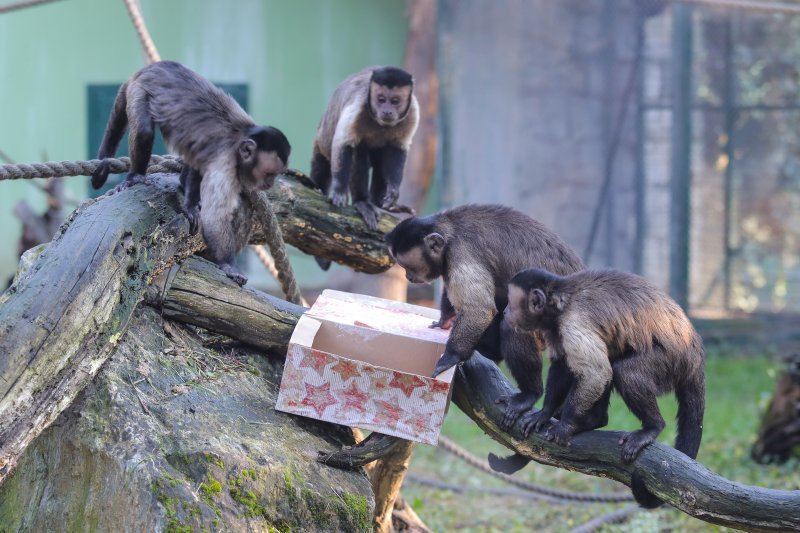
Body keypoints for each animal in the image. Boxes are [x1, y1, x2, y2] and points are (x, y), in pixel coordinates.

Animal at [91, 61, 290, 286]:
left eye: (275, 174)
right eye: (269, 173)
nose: (269, 184)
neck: (241, 139)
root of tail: (148, 68)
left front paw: (190, 201)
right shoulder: (225, 163)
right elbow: (214, 217)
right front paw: (230, 264)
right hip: (139, 90)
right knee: (143, 130)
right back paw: (136, 176)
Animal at [310, 65, 418, 234]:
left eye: (395, 101)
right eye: (381, 99)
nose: (387, 110)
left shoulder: (412, 110)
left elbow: (398, 149)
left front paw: (393, 192)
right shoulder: (358, 105)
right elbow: (343, 143)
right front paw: (339, 190)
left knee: (385, 151)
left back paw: (379, 202)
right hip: (323, 145)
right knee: (357, 149)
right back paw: (362, 202)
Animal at [384, 204, 584, 428]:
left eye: (409, 267)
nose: (408, 277)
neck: (450, 230)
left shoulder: (461, 252)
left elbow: (479, 309)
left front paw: (451, 356)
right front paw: (445, 321)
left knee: (511, 325)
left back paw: (530, 393)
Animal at [504, 266, 704, 508]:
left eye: (511, 301)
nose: (504, 312)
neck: (559, 305)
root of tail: (695, 348)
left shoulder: (573, 322)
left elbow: (596, 373)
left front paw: (566, 426)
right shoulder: (553, 328)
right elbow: (562, 364)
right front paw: (544, 414)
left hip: (673, 359)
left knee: (623, 372)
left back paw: (652, 427)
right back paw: (595, 421)